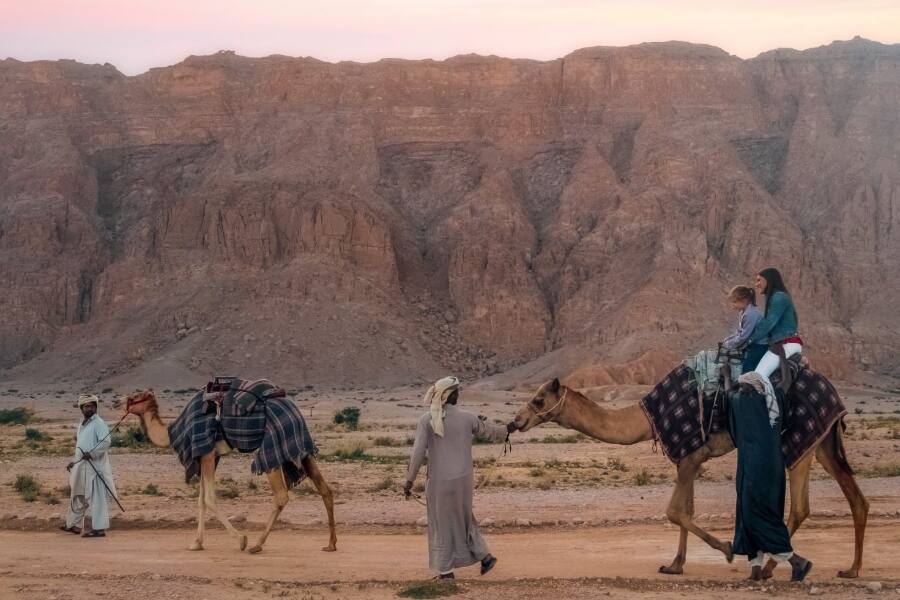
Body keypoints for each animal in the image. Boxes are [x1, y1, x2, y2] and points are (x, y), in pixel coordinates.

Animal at [113, 390, 337, 554]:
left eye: (136, 395)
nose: (115, 401)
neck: (174, 431)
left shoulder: (207, 453)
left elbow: (209, 500)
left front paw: (241, 540)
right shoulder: (208, 456)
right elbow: (201, 501)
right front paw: (197, 543)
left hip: (272, 448)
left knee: (281, 496)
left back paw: (256, 545)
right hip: (302, 447)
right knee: (325, 489)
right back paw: (331, 544)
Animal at [510, 377, 869, 579]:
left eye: (539, 399)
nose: (516, 421)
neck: (648, 419)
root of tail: (834, 395)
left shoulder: (690, 455)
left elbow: (674, 511)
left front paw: (726, 548)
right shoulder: (691, 459)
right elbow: (687, 510)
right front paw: (674, 565)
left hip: (798, 442)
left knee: (801, 506)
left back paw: (772, 568)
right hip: (823, 443)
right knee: (856, 499)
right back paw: (850, 569)